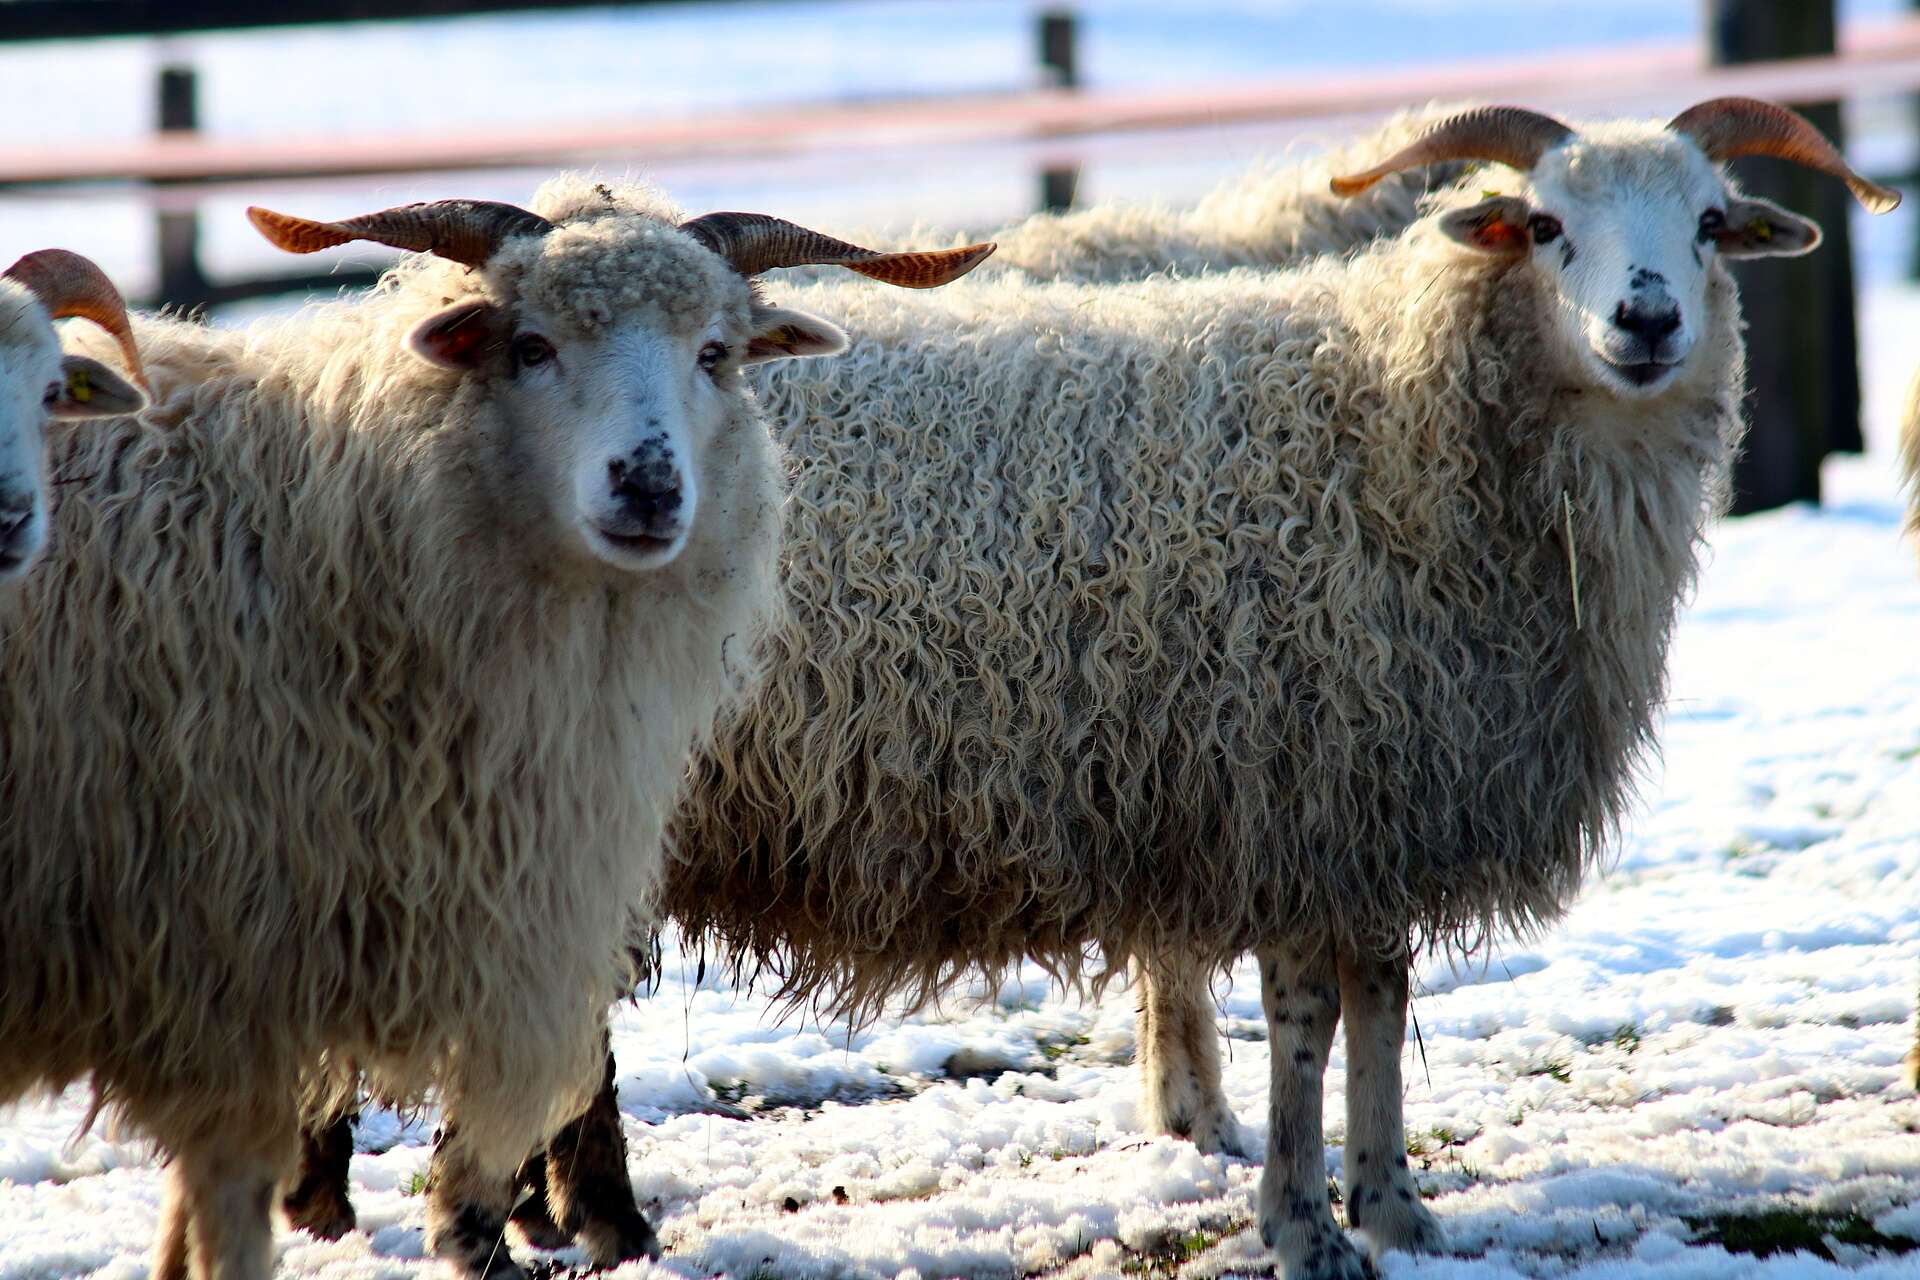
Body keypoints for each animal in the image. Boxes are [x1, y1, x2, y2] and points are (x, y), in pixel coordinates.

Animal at [653, 99, 1895, 1279]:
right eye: (1546, 225)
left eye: (1708, 222)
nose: (1647, 322)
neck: (1390, 428)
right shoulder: (1288, 788)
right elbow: (1307, 1018)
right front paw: (1303, 1223)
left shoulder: (1376, 797)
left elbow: (1383, 1000)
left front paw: (1393, 1207)